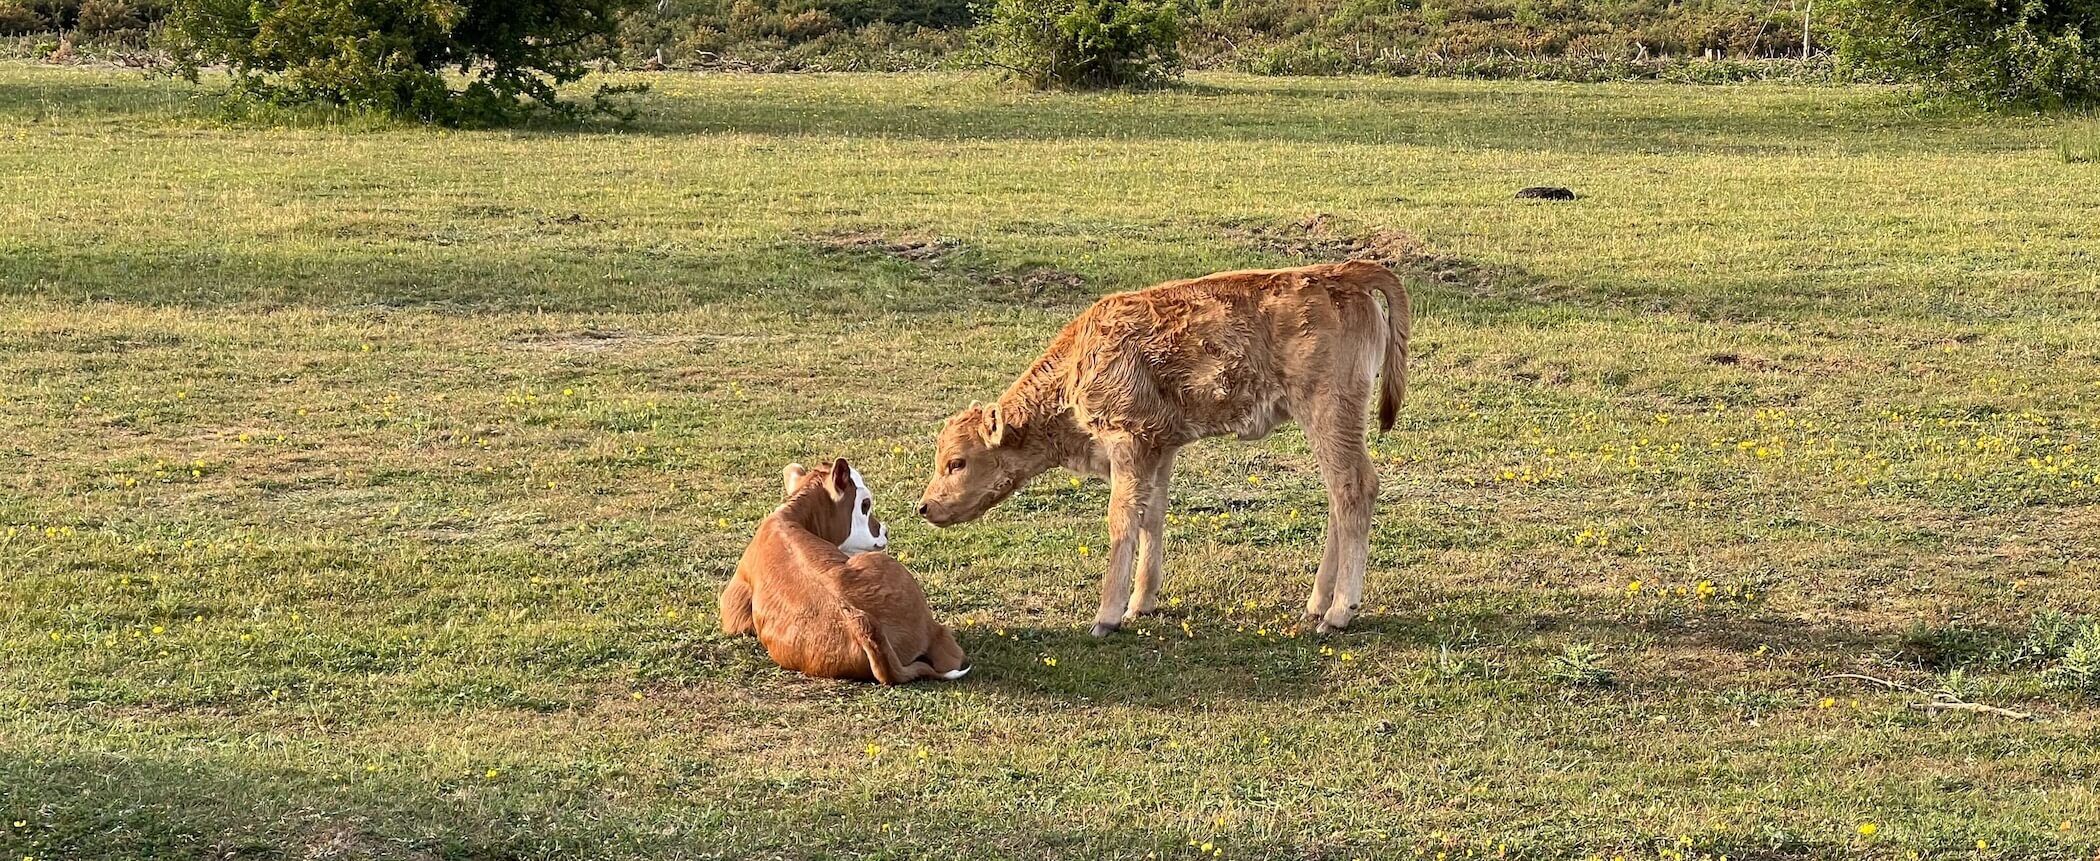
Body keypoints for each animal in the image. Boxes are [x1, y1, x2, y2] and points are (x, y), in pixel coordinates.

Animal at [917, 260, 1410, 636]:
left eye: (957, 462)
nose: (923, 506)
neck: (1078, 363)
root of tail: (1338, 273)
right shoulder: (1160, 448)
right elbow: (1151, 516)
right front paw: (1142, 601)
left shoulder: (1127, 443)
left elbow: (1122, 521)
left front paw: (1107, 616)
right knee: (1338, 497)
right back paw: (1317, 603)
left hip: (1328, 412)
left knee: (1354, 488)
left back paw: (1338, 612)